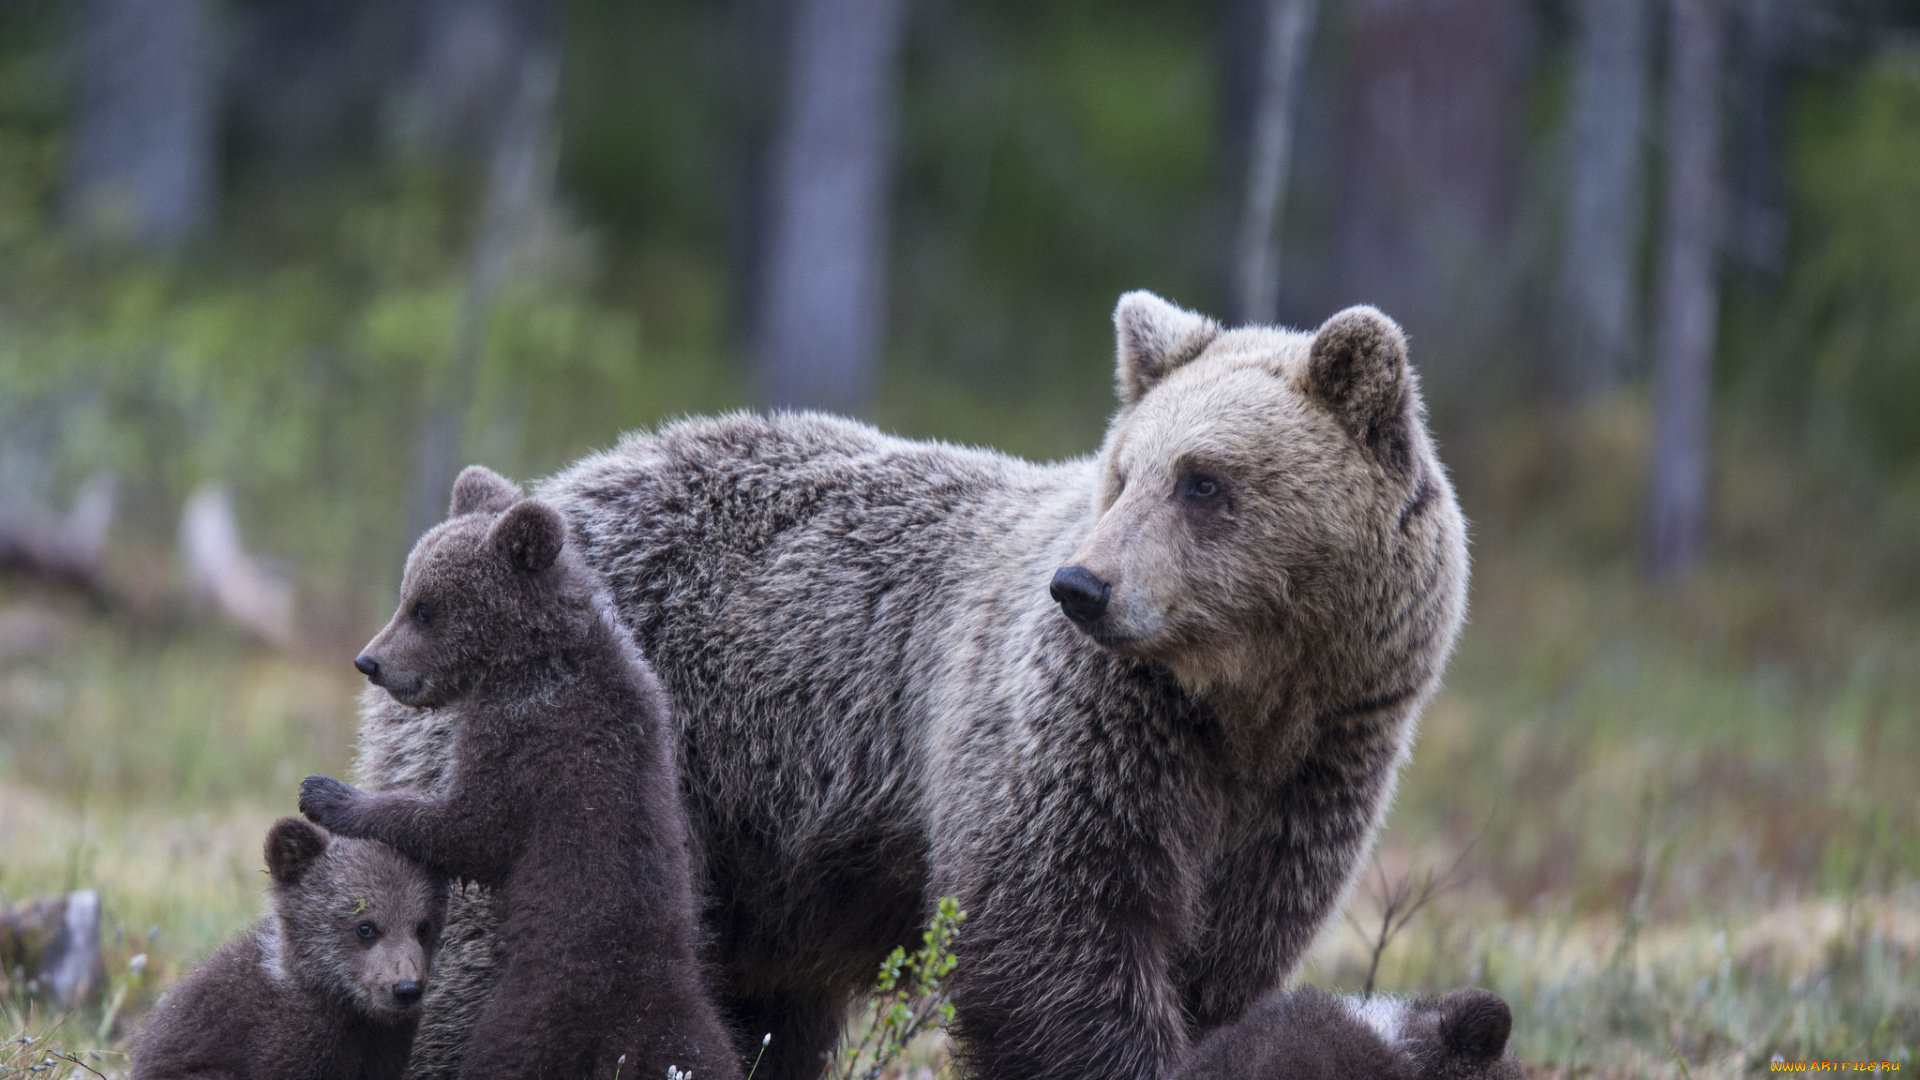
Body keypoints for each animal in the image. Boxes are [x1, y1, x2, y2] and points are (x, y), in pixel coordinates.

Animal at [295, 470, 737, 1076]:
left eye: (425, 607)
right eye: (408, 594)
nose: (369, 662)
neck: (530, 662)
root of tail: (629, 1033)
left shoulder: (531, 747)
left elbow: (467, 827)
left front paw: (327, 794)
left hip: (533, 1005)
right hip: (694, 1033)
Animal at [362, 290, 1466, 1076]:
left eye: (1204, 480)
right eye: (1125, 472)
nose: (1083, 586)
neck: (1242, 701)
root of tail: (534, 493)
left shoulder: (1309, 777)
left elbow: (1218, 964)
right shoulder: (1081, 735)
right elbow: (1058, 939)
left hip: (756, 865)